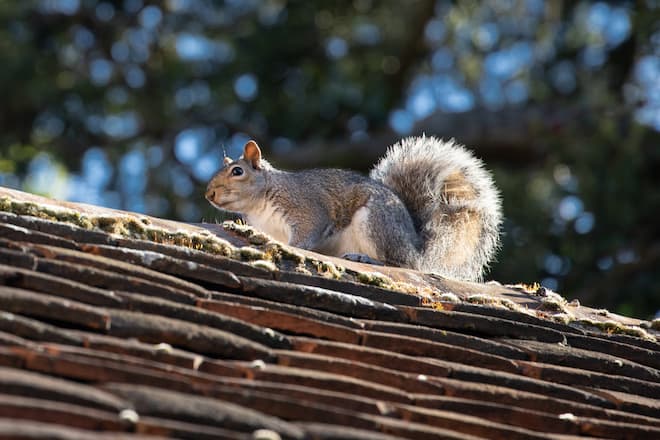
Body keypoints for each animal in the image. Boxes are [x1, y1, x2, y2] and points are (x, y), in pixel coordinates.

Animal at [204, 135, 502, 282]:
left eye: (237, 171)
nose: (209, 193)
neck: (260, 203)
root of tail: (417, 249)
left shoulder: (306, 208)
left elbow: (307, 233)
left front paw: (294, 248)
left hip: (375, 224)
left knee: (402, 263)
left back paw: (368, 259)